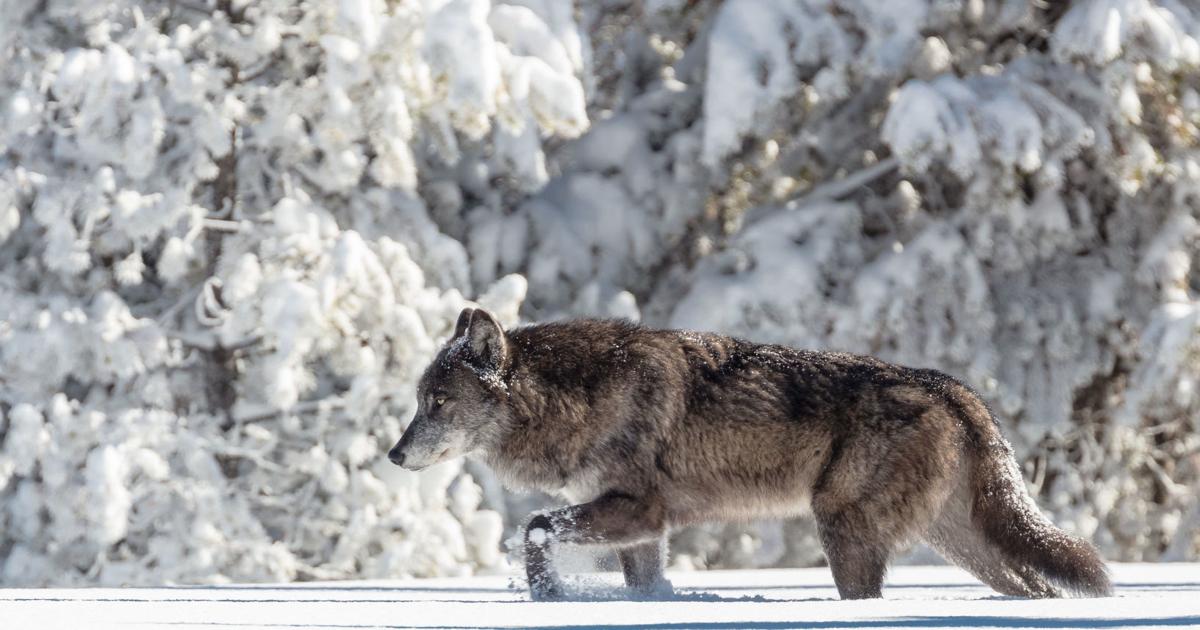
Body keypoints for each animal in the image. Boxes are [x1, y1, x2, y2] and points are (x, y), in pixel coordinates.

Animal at [388, 307, 1111, 601]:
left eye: (438, 403)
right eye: (419, 401)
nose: (393, 455)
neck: (576, 397)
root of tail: (952, 387)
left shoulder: (638, 509)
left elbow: (534, 529)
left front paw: (549, 596)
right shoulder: (644, 530)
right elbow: (640, 582)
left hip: (843, 528)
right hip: (961, 544)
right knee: (1037, 587)